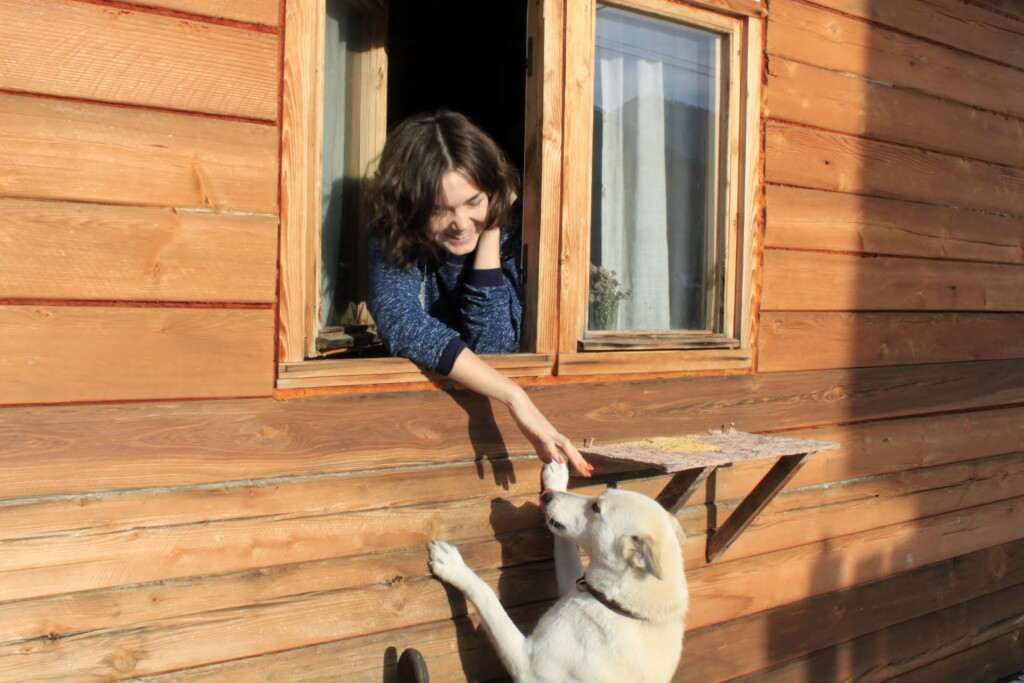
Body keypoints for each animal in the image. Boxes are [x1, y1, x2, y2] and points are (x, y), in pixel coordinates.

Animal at [423, 462, 688, 679]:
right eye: (599, 497)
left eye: (596, 507)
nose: (547, 497)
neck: (619, 605)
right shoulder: (571, 581)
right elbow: (565, 544)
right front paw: (556, 476)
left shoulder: (528, 665)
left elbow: (487, 595)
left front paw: (452, 565)